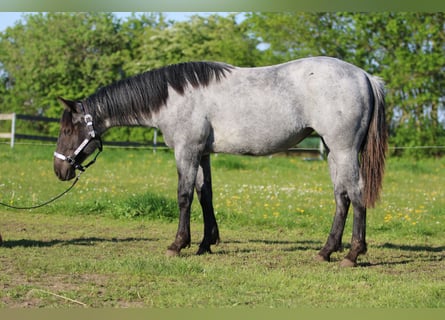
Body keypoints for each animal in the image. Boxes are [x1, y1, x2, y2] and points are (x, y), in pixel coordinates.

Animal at [53, 56, 386, 266]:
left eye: (68, 129)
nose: (59, 169)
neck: (173, 97)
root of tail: (365, 76)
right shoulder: (202, 153)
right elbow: (205, 195)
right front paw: (205, 243)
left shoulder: (186, 151)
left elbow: (184, 196)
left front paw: (178, 245)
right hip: (333, 152)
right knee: (341, 197)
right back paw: (326, 251)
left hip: (343, 150)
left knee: (356, 195)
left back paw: (352, 255)